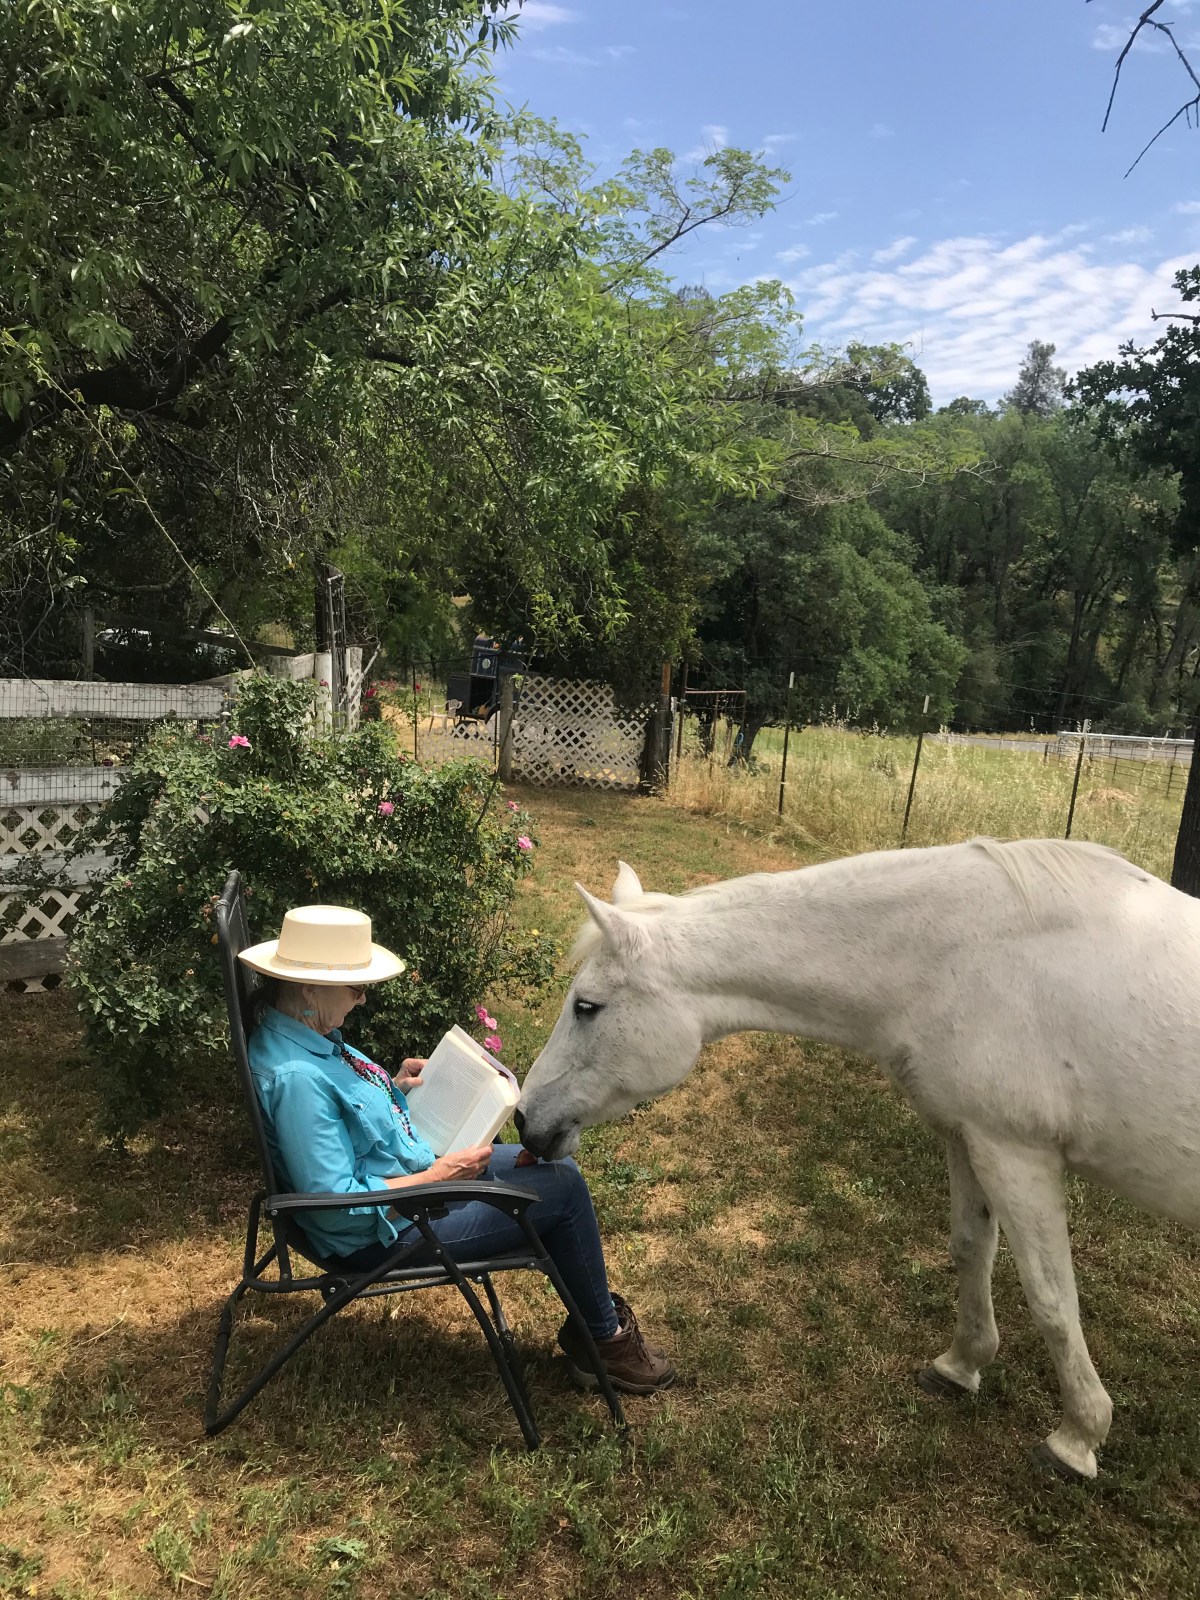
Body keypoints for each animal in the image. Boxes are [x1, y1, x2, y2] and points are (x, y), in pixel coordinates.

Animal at [515, 839, 1200, 1480]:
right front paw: (962, 1365)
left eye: (587, 1006)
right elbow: (970, 1250)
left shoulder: (1017, 1153)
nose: (525, 1119)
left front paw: (1077, 1437)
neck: (960, 957)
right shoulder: (969, 1137)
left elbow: (1052, 1299)